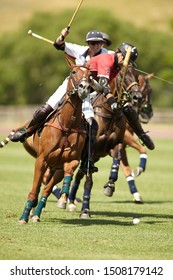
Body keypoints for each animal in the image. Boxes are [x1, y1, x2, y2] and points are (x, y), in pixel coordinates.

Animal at [17, 60, 92, 224]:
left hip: (55, 168)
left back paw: (37, 213)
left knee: (46, 187)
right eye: (73, 72)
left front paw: (64, 197)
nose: (84, 87)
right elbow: (34, 190)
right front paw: (23, 218)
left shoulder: (70, 160)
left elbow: (67, 171)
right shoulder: (42, 159)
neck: (67, 124)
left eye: (90, 75)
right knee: (38, 187)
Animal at [66, 64, 142, 218]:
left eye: (137, 75)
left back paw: (71, 201)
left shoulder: (114, 146)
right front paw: (85, 210)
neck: (111, 114)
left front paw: (110, 185)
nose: (137, 97)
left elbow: (117, 160)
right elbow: (89, 181)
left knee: (78, 174)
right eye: (122, 76)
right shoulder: (91, 150)